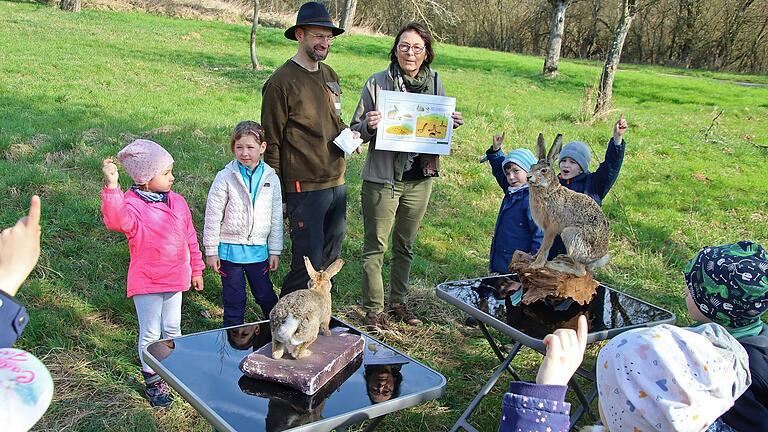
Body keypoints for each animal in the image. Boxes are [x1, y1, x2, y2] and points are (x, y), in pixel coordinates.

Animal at [524, 134, 608, 276]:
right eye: (532, 166)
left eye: (544, 170)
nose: (528, 177)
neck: (548, 191)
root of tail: (597, 259)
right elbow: (541, 246)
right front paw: (534, 257)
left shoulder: (551, 228)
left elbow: (545, 246)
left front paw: (536, 265)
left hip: (570, 235)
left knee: (581, 272)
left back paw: (556, 266)